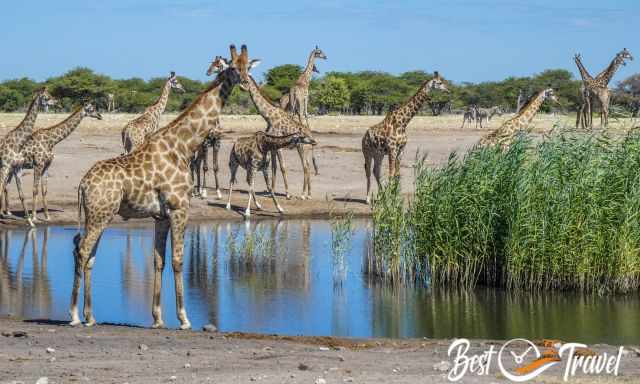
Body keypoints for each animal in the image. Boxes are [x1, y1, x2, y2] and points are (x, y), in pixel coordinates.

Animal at [0, 87, 53, 219]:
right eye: (47, 97)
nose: (55, 101)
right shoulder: (6, 166)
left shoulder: (16, 167)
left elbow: (21, 194)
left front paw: (29, 217)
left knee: (5, 187)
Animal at [235, 70, 318, 200]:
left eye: (246, 80)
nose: (241, 87)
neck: (269, 117)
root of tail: (311, 136)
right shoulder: (272, 146)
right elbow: (274, 167)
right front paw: (272, 191)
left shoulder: (278, 146)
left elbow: (282, 167)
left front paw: (287, 193)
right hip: (306, 150)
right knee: (308, 166)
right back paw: (309, 194)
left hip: (302, 148)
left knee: (305, 167)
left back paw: (302, 194)